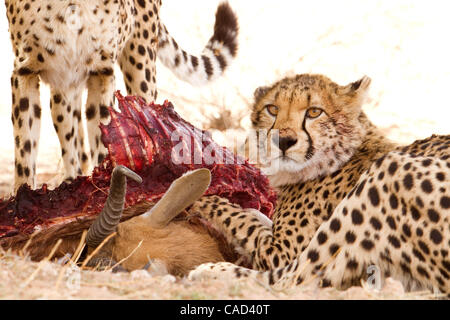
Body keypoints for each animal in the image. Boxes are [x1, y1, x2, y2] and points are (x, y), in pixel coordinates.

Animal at [6, 0, 239, 192]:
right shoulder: (25, 73)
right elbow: (24, 150)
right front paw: (22, 198)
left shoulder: (101, 73)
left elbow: (104, 139)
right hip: (65, 85)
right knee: (70, 134)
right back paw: (72, 178)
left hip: (140, 59)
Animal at [187, 74, 450, 296]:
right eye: (272, 109)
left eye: (314, 112)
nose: (284, 140)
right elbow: (257, 218)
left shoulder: (280, 253)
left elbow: (244, 223)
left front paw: (204, 200)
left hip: (389, 171)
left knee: (293, 280)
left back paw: (210, 271)